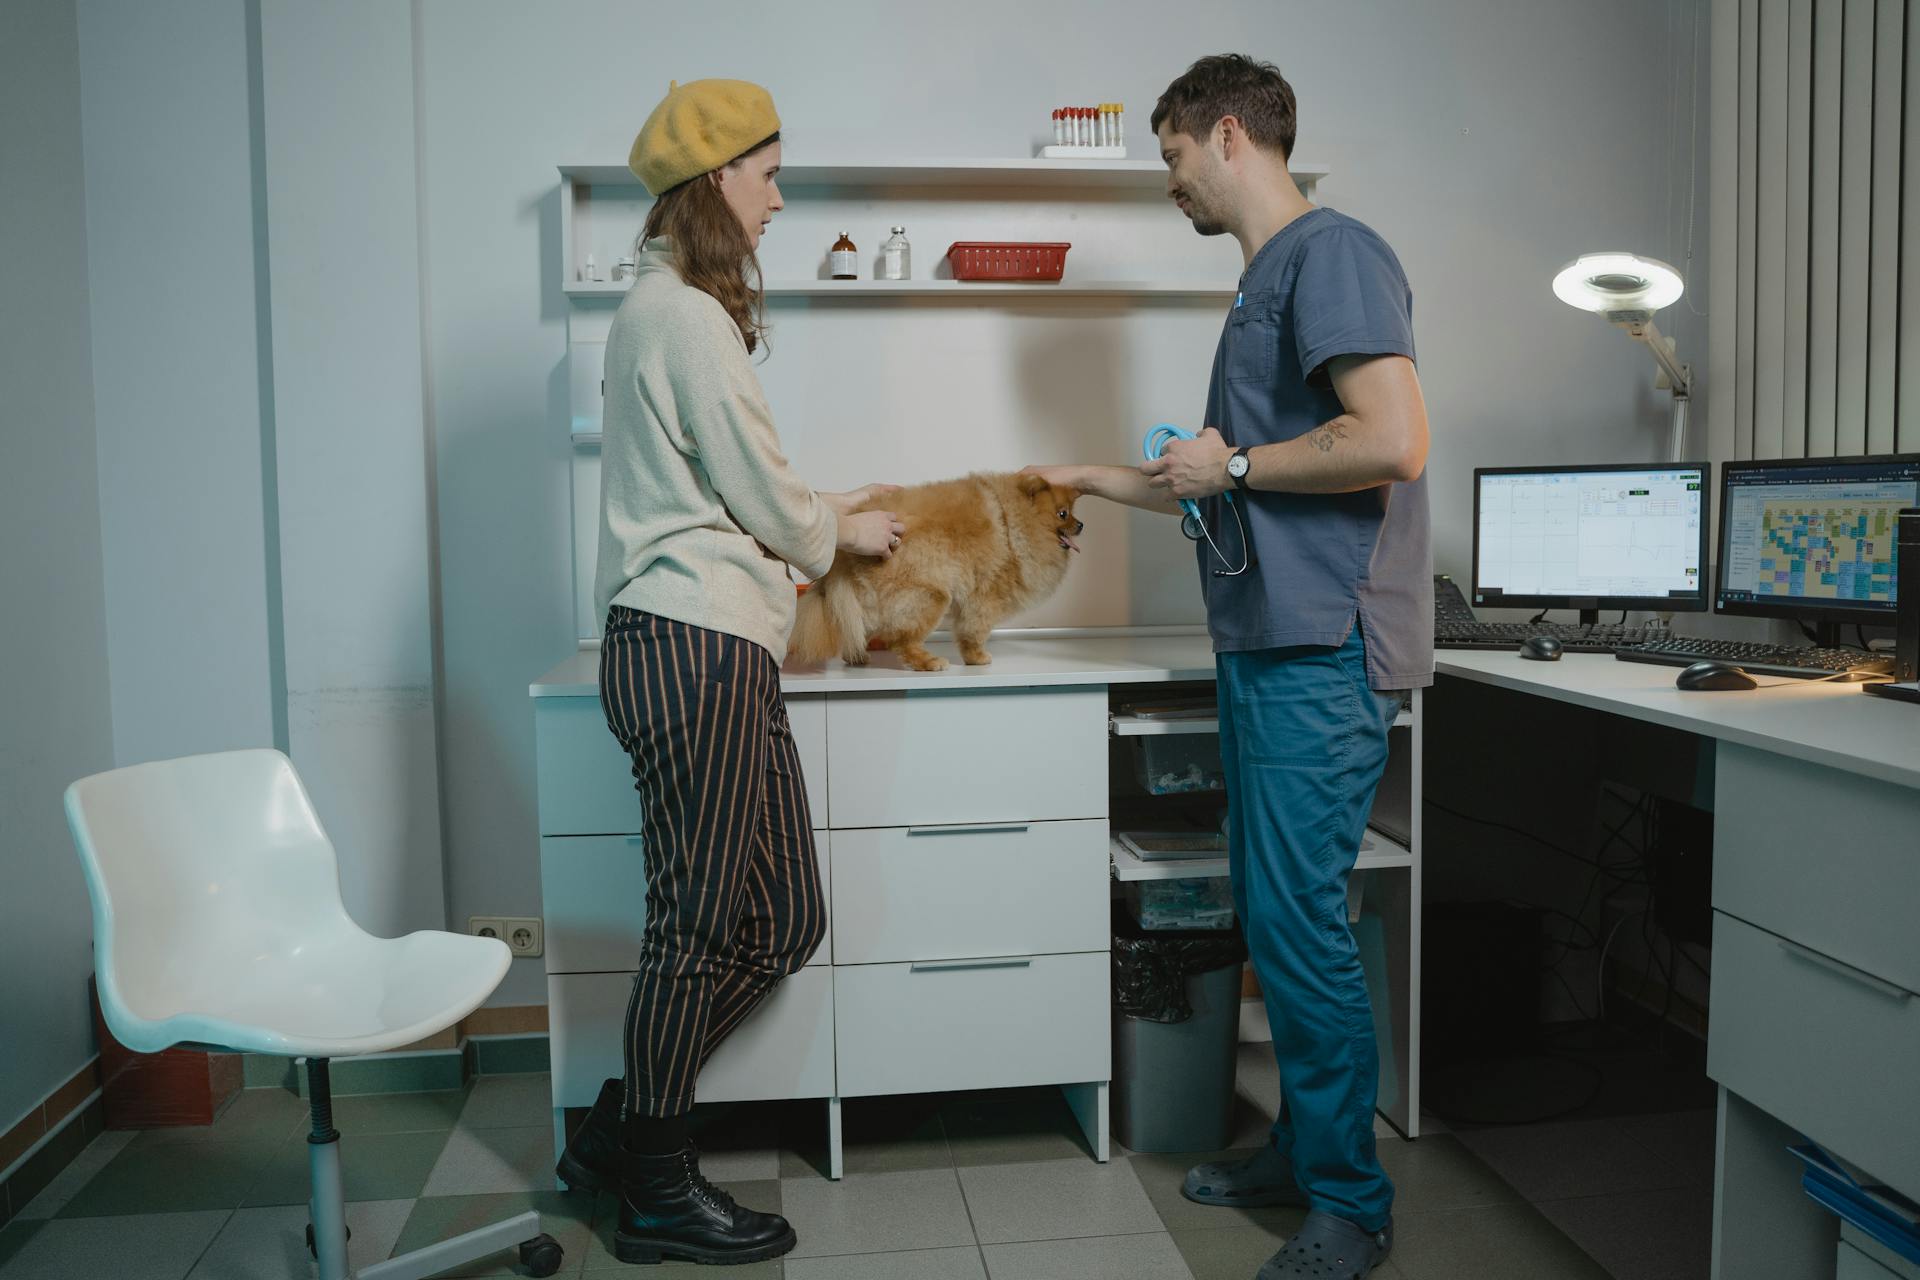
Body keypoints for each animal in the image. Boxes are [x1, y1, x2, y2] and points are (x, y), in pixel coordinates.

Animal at [791, 470, 1090, 671]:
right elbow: (974, 631)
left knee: (855, 623)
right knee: (901, 640)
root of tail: (842, 553)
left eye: (1072, 512)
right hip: (929, 595)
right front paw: (976, 658)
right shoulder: (985, 597)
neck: (1015, 526)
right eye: (1063, 514)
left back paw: (857, 656)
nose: (1081, 524)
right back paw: (928, 662)